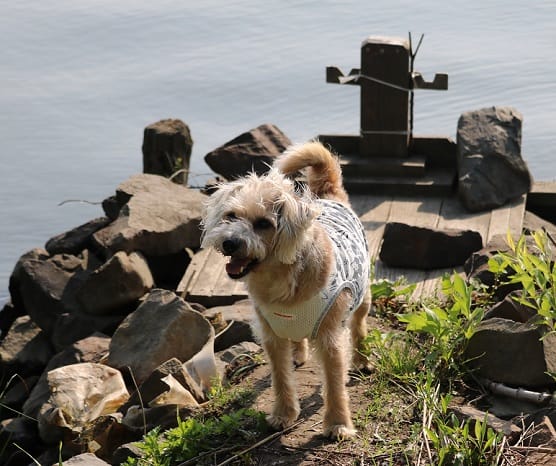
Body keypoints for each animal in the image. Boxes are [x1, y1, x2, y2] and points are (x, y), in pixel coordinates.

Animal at [202, 140, 372, 438]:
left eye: (263, 224)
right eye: (231, 216)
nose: (230, 242)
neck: (278, 277)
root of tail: (330, 196)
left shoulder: (330, 339)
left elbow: (334, 383)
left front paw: (338, 423)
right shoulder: (272, 336)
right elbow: (280, 378)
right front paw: (283, 414)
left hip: (363, 297)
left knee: (359, 326)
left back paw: (361, 360)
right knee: (297, 340)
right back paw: (298, 354)